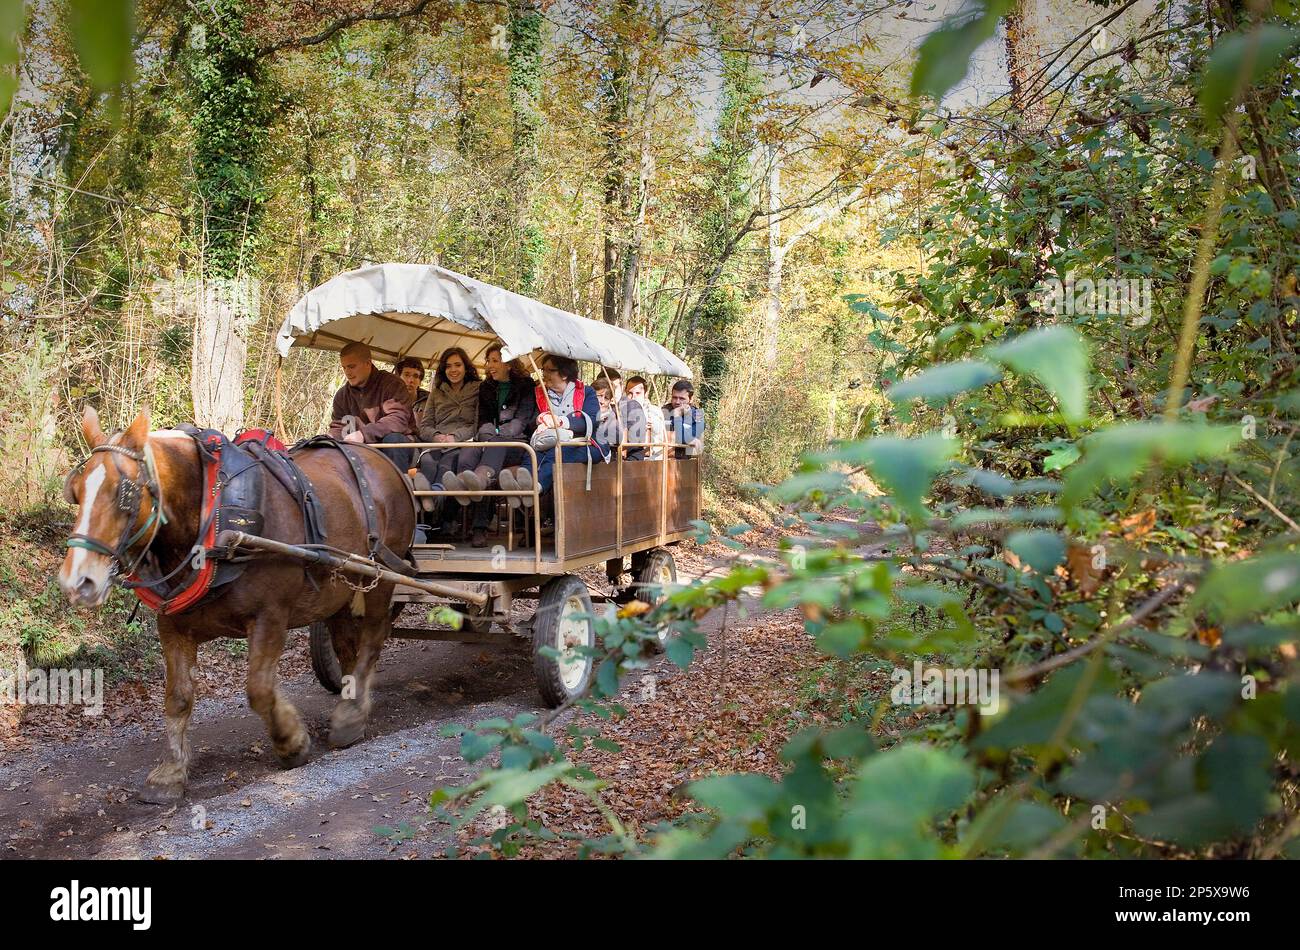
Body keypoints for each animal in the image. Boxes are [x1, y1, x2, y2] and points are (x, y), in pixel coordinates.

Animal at [58, 405, 413, 805]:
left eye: (124, 493)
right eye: (76, 492)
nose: (77, 582)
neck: (211, 520)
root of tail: (385, 462)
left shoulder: (270, 617)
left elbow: (259, 690)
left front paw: (291, 742)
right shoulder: (173, 626)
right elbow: (178, 697)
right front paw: (170, 772)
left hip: (382, 575)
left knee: (372, 639)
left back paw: (351, 718)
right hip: (338, 587)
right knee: (347, 644)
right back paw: (354, 704)